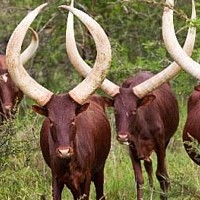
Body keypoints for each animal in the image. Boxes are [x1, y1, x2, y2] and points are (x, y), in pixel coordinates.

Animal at [6, 3, 111, 200]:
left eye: (73, 120)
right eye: (51, 122)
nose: (64, 151)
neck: (69, 164)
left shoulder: (86, 178)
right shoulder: (56, 179)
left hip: (99, 171)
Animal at [65, 0, 195, 199]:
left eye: (134, 110)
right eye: (116, 111)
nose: (122, 136)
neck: (142, 128)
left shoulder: (160, 144)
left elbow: (163, 175)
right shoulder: (132, 149)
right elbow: (139, 180)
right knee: (148, 167)